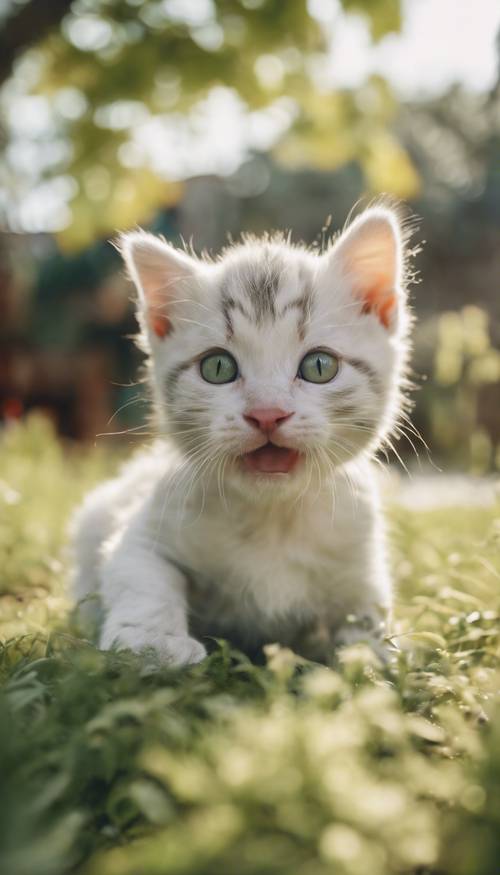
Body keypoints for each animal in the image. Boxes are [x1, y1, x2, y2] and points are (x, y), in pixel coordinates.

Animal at [71, 205, 414, 668]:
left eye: (319, 366)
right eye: (217, 367)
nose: (267, 414)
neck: (272, 518)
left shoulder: (359, 553)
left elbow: (367, 615)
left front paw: (370, 656)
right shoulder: (146, 527)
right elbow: (143, 576)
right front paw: (152, 642)